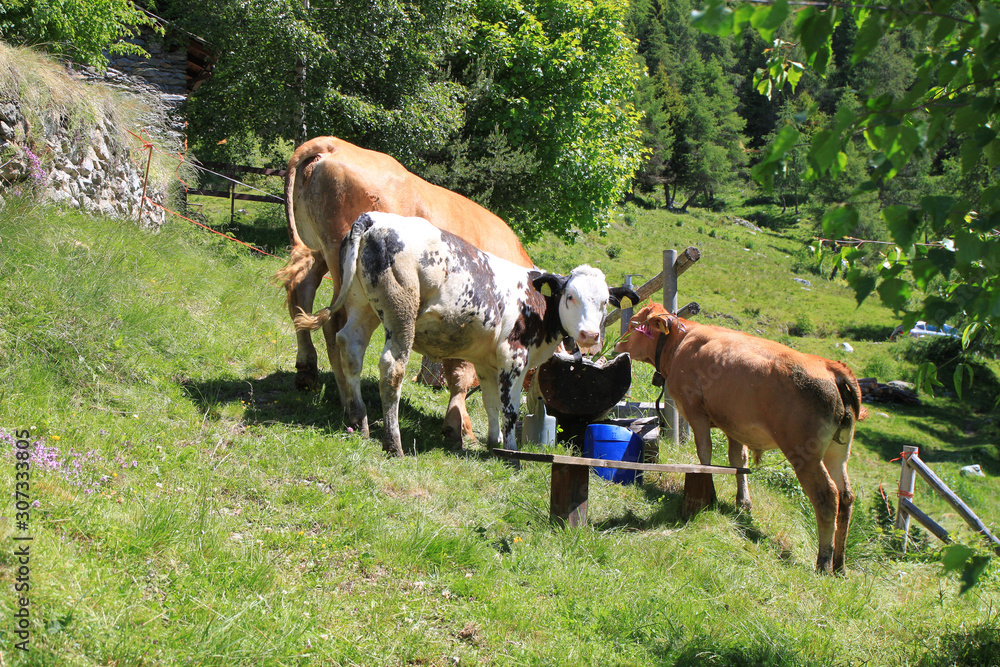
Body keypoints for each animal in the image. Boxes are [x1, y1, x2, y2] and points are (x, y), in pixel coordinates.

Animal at [276, 136, 534, 444]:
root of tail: (331, 144)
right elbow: (462, 374)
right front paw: (460, 426)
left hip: (315, 250)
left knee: (301, 291)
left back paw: (307, 371)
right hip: (343, 265)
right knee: (334, 326)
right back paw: (348, 405)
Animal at [294, 211, 639, 457]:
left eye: (604, 302)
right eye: (570, 296)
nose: (589, 334)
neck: (536, 306)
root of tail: (375, 218)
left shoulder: (487, 363)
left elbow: (490, 403)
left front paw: (492, 443)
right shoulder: (514, 357)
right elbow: (510, 409)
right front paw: (512, 453)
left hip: (361, 304)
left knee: (349, 346)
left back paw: (360, 421)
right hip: (401, 314)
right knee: (392, 368)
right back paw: (394, 444)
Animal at [614, 302, 867, 574]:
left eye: (633, 325)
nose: (617, 344)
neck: (681, 341)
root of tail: (831, 367)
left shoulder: (696, 411)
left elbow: (705, 453)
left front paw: (710, 495)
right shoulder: (733, 424)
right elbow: (738, 460)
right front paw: (742, 502)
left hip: (805, 454)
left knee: (827, 497)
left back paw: (823, 561)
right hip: (838, 453)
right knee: (847, 496)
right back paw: (840, 564)